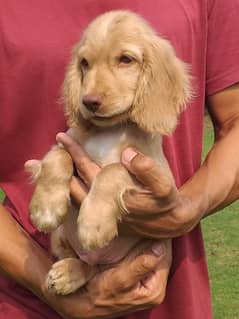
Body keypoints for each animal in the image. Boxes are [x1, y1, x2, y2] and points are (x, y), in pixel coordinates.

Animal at [25, 9, 191, 296]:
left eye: (126, 59)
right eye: (84, 63)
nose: (89, 102)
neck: (111, 130)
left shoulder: (154, 175)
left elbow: (113, 170)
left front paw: (93, 224)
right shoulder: (65, 142)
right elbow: (57, 158)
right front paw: (45, 208)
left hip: (147, 248)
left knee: (99, 269)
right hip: (60, 238)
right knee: (88, 265)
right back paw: (67, 273)